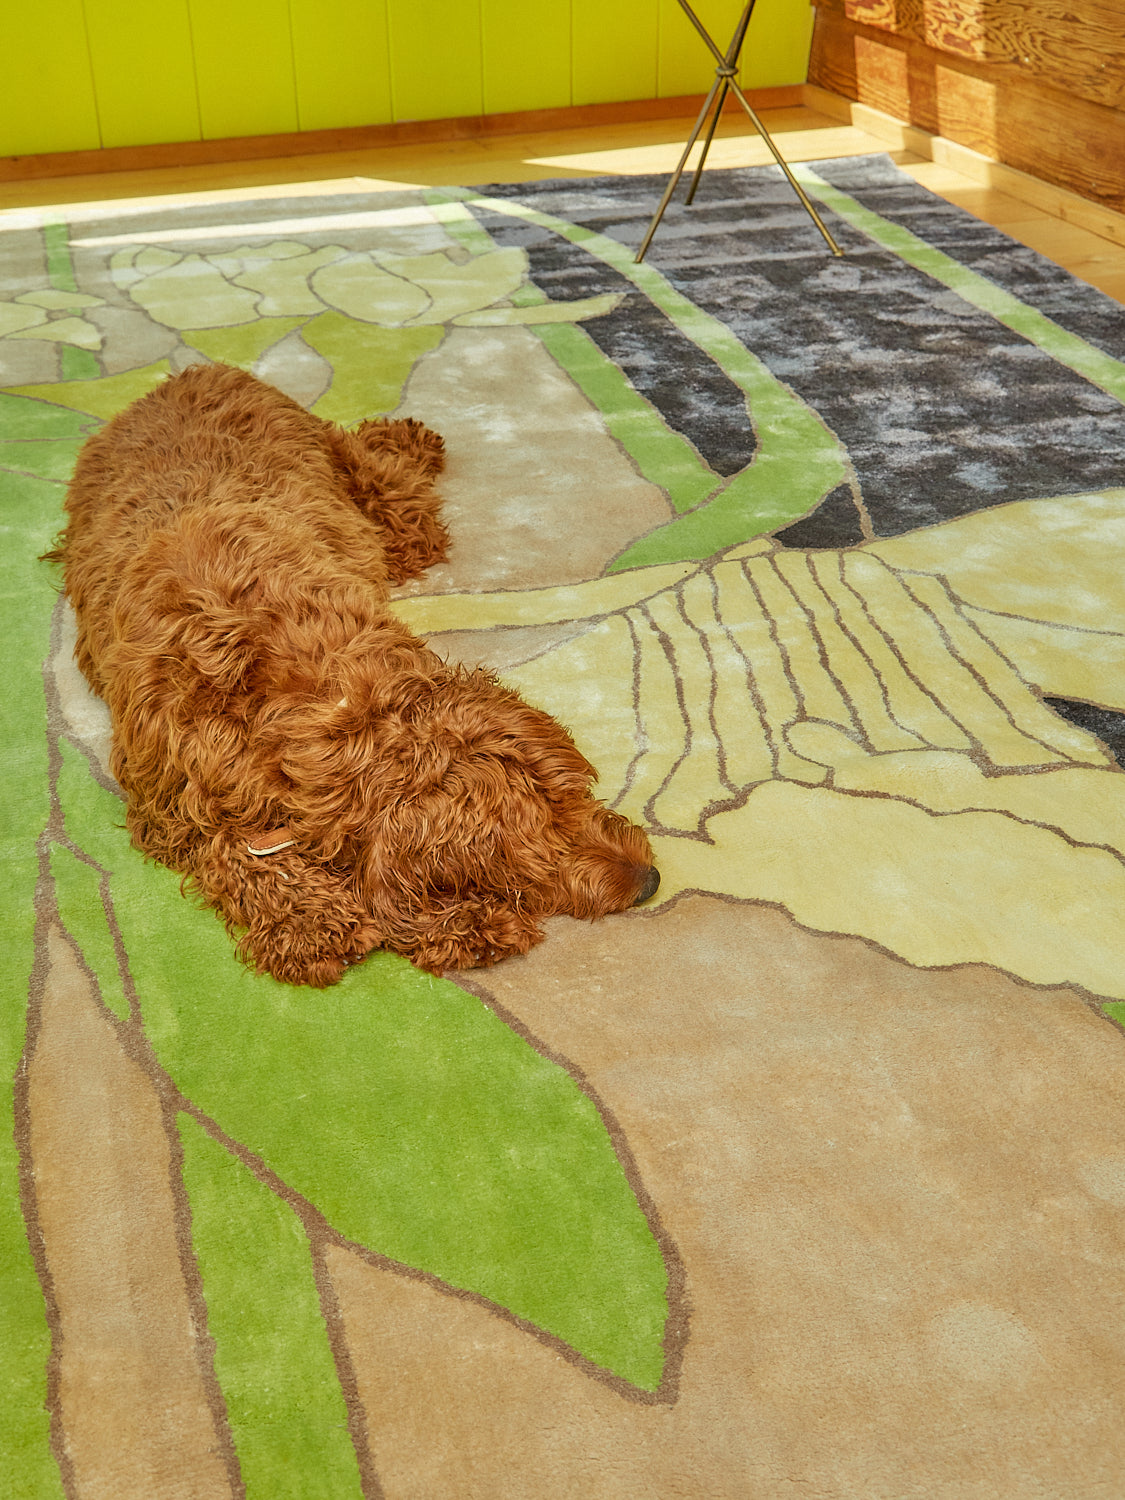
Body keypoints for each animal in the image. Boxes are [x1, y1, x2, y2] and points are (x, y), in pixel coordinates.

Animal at [52, 366, 657, 984]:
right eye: (527, 853)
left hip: (385, 510)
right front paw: (310, 924)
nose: (649, 881)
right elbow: (230, 850)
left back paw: (410, 435)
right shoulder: (169, 805)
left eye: (574, 794)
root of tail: (190, 373)